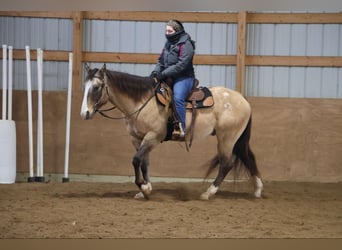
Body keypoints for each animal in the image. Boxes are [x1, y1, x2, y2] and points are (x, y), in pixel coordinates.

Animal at [81, 63, 264, 200]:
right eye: (85, 87)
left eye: (96, 87)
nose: (85, 113)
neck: (142, 102)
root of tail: (243, 99)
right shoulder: (137, 138)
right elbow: (144, 162)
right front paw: (146, 188)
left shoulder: (153, 137)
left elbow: (136, 160)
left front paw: (144, 188)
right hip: (235, 139)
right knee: (247, 156)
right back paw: (257, 190)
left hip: (227, 138)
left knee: (226, 164)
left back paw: (208, 193)